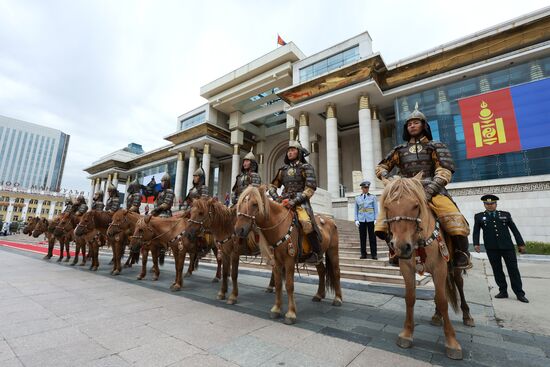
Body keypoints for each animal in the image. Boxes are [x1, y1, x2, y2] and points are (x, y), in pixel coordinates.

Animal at [234, 187, 344, 324]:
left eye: (255, 204)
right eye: (240, 203)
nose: (239, 230)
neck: (279, 227)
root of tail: (330, 221)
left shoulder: (289, 260)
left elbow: (289, 285)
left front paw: (291, 314)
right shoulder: (276, 261)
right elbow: (278, 284)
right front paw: (276, 309)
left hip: (332, 250)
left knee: (336, 271)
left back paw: (338, 299)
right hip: (317, 256)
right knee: (322, 271)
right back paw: (319, 295)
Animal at [382, 174, 472, 360]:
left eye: (416, 205)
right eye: (387, 206)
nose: (401, 247)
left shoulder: (440, 268)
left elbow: (443, 301)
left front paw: (452, 342)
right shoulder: (407, 269)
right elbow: (410, 298)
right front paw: (407, 334)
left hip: (454, 266)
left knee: (458, 285)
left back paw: (467, 315)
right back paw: (437, 316)